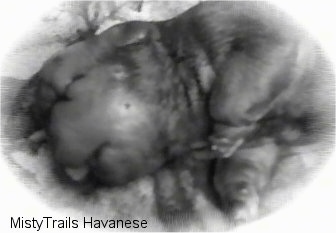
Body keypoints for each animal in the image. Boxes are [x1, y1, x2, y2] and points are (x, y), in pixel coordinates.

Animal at [12, 2, 334, 224]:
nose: (44, 141)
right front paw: (240, 209)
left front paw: (224, 136)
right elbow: (241, 167)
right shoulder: (262, 142)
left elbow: (235, 93)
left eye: (69, 88)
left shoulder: (260, 32)